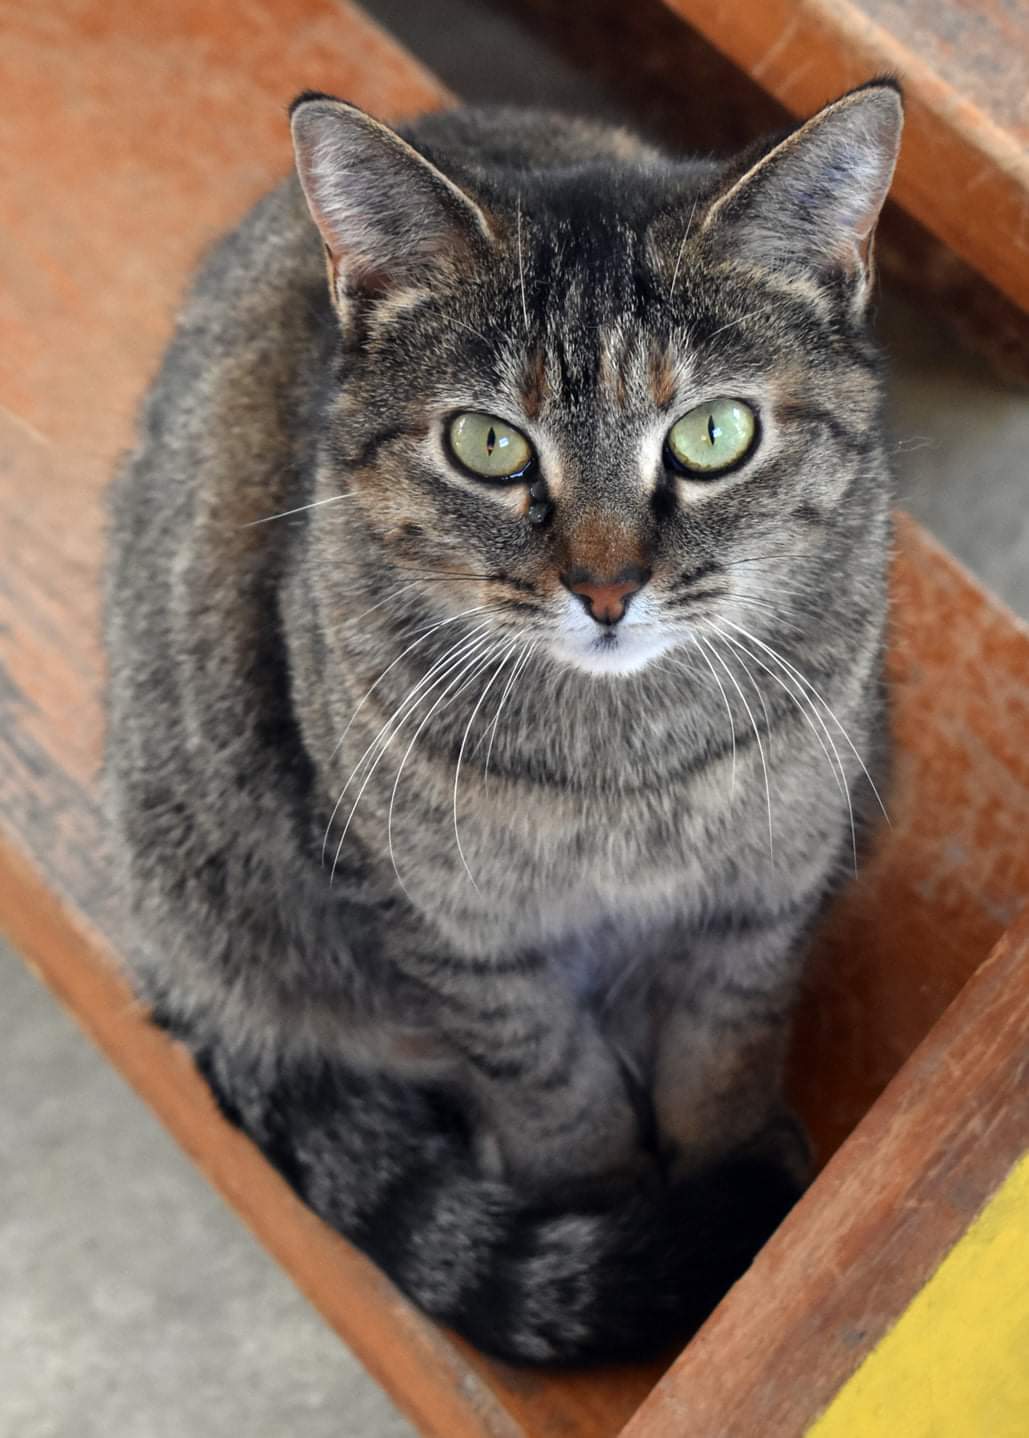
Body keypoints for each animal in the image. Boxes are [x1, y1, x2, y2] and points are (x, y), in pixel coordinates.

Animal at [106, 75, 902, 1357]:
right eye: (488, 444)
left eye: (714, 434)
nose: (606, 587)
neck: (627, 766)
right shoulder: (455, 931)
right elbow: (549, 1083)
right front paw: (613, 1212)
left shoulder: (764, 896)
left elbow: (725, 1055)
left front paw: (732, 1172)